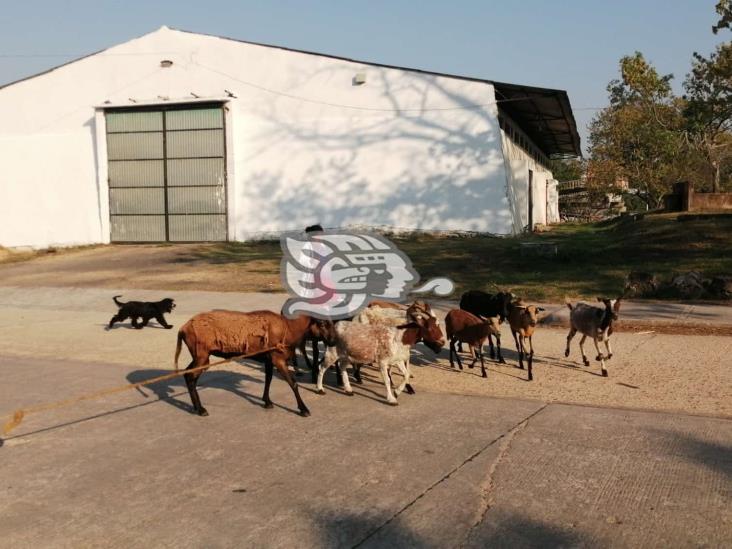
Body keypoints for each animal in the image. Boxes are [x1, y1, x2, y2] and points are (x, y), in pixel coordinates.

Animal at [173, 310, 334, 418]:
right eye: (321, 323)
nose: (333, 341)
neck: (290, 330)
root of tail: (182, 329)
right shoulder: (278, 359)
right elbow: (293, 383)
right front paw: (303, 409)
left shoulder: (268, 359)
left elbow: (268, 379)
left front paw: (267, 401)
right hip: (202, 356)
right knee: (189, 376)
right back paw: (200, 409)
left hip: (198, 356)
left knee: (188, 374)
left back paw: (197, 407)